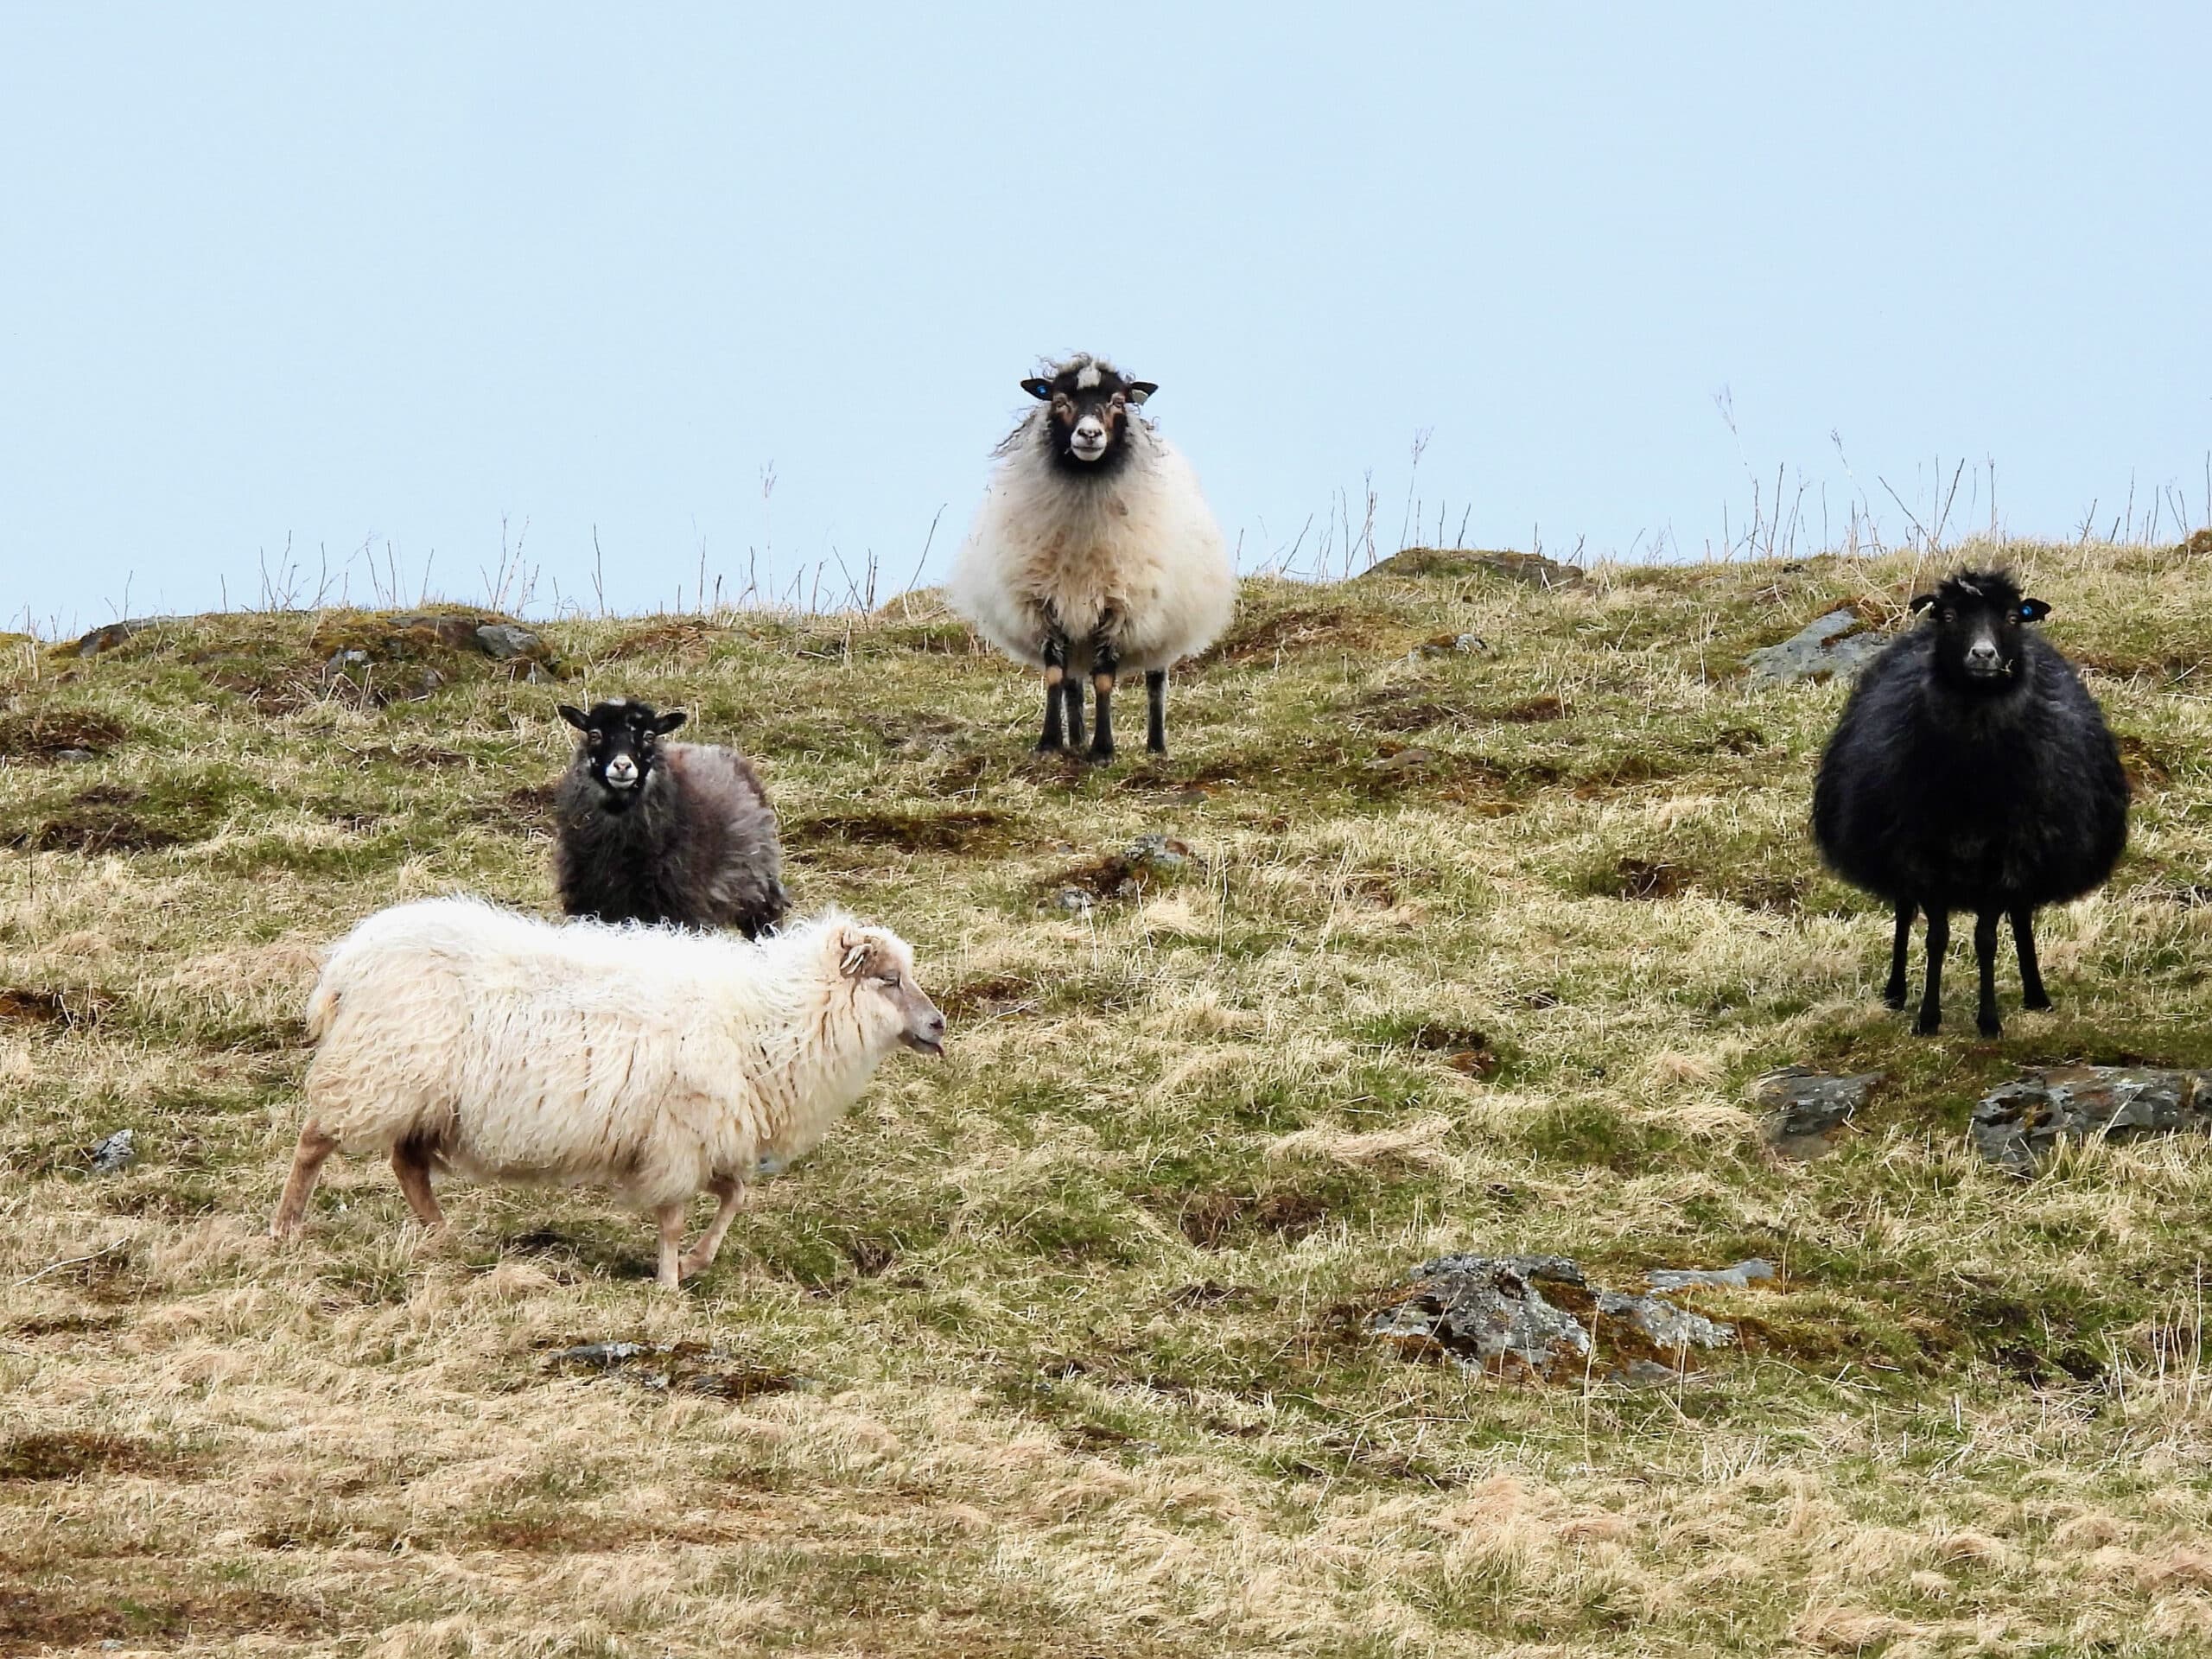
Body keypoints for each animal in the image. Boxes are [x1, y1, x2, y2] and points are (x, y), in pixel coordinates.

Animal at [267, 898, 945, 1288]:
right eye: (889, 980)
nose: (938, 1026)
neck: (770, 1018)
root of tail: (351, 960)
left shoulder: (707, 1138)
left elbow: (735, 1197)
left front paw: (696, 1263)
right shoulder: (678, 1138)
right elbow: (675, 1217)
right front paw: (670, 1282)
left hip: (423, 1097)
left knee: (407, 1165)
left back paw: (444, 1237)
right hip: (379, 1073)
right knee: (314, 1142)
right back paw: (286, 1228)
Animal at [553, 697, 789, 937]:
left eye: (649, 736)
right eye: (595, 734)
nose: (622, 766)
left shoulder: (681, 908)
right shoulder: (589, 903)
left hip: (760, 886)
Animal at [946, 354, 1236, 761]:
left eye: (1118, 401)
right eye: (1059, 399)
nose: (1089, 435)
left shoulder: (1121, 609)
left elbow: (1104, 679)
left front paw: (1103, 750)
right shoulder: (1044, 604)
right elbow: (1055, 675)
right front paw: (1050, 743)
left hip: (1163, 621)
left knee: (1155, 681)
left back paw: (1155, 747)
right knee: (1072, 681)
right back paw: (1077, 739)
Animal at [1812, 569, 2128, 1036]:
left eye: (2014, 617)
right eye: (1947, 615)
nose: (1983, 654)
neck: (1972, 781)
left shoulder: (2008, 853)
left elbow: (1987, 938)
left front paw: (1989, 1021)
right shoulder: (1922, 852)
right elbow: (1936, 937)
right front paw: (1928, 1018)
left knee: (2020, 915)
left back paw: (2037, 996)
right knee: (1904, 911)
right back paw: (1895, 992)